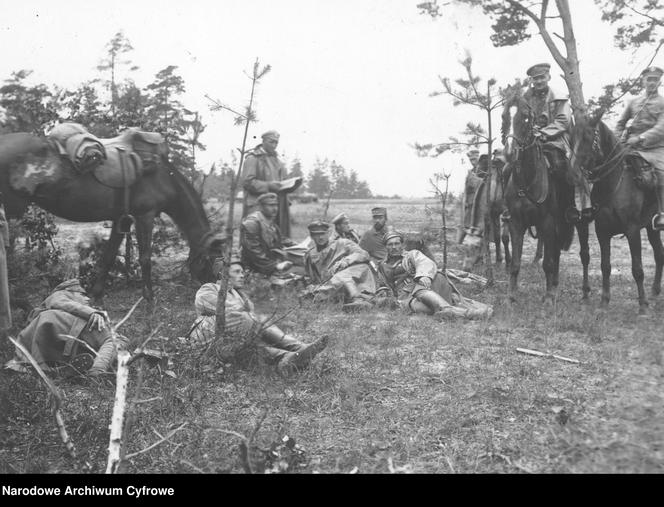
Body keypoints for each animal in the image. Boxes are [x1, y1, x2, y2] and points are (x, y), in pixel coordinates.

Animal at [0, 131, 224, 300]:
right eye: (213, 259)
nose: (214, 285)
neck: (163, 177)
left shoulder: (121, 220)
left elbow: (108, 256)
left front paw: (96, 296)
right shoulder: (144, 216)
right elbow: (145, 258)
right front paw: (149, 300)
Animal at [500, 90, 588, 304]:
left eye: (525, 117)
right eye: (504, 116)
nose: (510, 153)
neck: (527, 178)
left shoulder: (547, 222)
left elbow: (548, 261)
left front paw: (548, 297)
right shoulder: (516, 223)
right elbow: (515, 262)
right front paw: (511, 296)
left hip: (569, 223)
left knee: (563, 254)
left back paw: (565, 289)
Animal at [572, 115, 664, 314]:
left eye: (588, 136)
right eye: (572, 136)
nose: (573, 171)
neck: (614, 181)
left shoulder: (632, 230)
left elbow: (637, 269)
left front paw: (642, 305)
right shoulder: (602, 231)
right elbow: (605, 266)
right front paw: (604, 301)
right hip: (651, 229)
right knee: (659, 254)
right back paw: (654, 292)